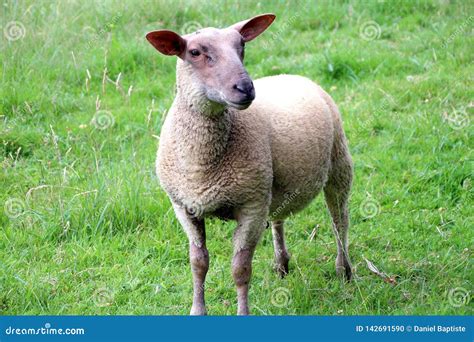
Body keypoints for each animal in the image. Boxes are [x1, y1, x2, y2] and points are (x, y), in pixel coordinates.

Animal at [146, 13, 354, 316]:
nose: (245, 88)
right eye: (194, 52)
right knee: (279, 217)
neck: (201, 166)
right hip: (276, 183)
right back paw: (282, 264)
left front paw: (242, 312)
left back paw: (344, 270)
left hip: (339, 164)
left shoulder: (251, 206)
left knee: (339, 220)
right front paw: (197, 310)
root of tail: (289, 75)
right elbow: (198, 263)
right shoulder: (184, 206)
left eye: (241, 45)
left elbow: (240, 269)